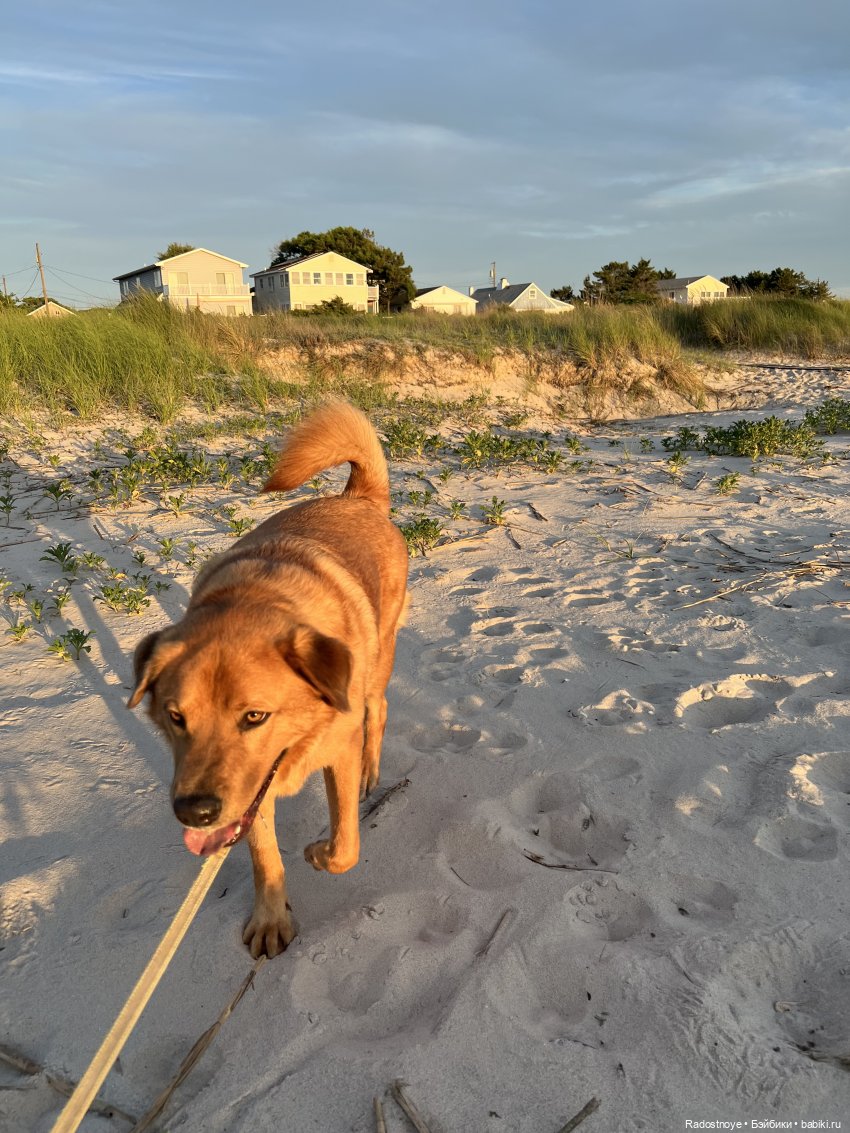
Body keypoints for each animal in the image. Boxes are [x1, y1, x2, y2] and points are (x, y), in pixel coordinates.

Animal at [128, 402, 409, 957]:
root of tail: (356, 498)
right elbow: (263, 855)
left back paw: (373, 770)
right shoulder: (250, 791)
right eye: (175, 717)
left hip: (380, 655)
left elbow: (345, 846)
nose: (195, 813)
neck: (254, 599)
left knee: (379, 707)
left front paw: (319, 852)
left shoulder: (335, 753)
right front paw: (271, 917)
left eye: (255, 716)